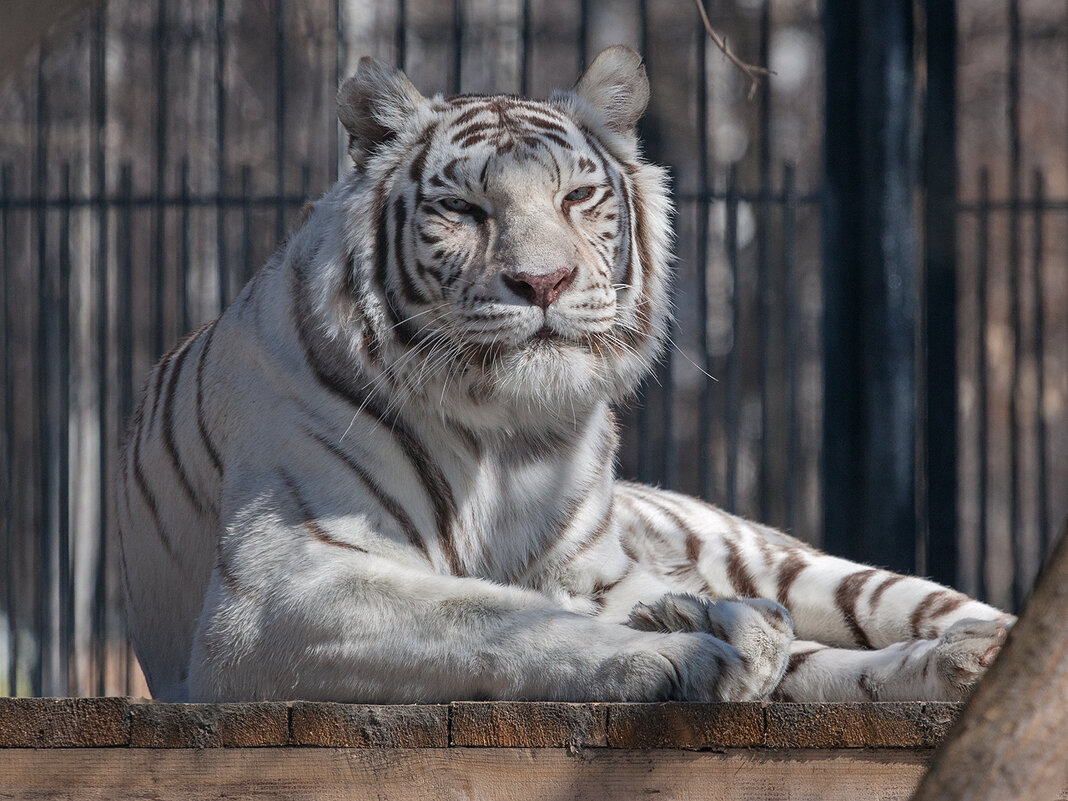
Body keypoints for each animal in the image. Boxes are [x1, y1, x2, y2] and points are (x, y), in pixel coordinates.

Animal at [116, 46, 1008, 704]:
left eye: (578, 197)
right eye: (463, 210)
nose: (542, 282)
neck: (504, 436)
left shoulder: (596, 564)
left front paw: (711, 627)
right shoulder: (280, 590)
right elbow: (492, 611)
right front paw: (688, 645)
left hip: (797, 562)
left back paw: (971, 652)